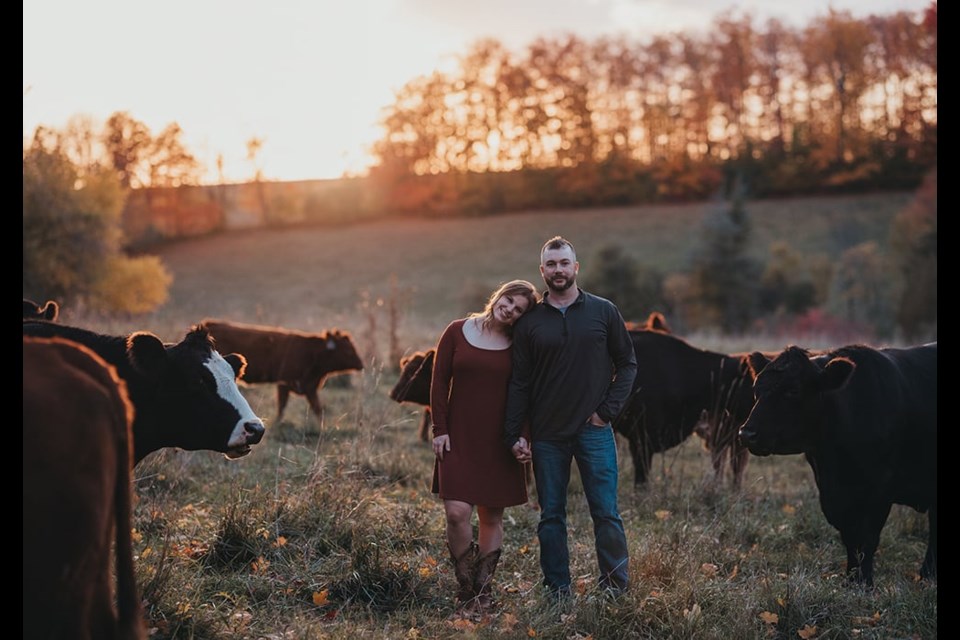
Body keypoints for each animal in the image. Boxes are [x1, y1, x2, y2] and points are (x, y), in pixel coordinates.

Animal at [202, 318, 364, 422]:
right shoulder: (284, 384)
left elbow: (318, 409)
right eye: (348, 350)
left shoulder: (310, 389)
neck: (311, 352)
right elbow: (282, 407)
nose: (361, 364)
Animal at [740, 342, 932, 588]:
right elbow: (850, 537)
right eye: (756, 389)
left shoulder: (881, 489)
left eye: (793, 391)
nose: (747, 433)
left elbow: (868, 538)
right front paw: (850, 580)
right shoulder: (832, 494)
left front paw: (864, 583)